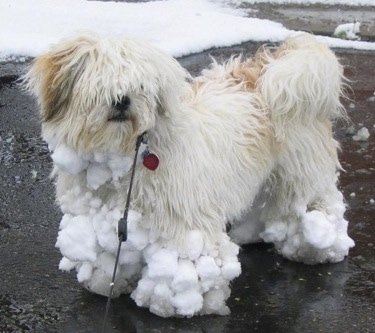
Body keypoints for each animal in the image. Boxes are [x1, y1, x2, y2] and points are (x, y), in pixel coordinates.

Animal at [23, 31, 356, 316]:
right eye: (100, 84)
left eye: (140, 87)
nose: (122, 100)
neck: (128, 155)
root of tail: (270, 67)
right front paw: (107, 281)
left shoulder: (185, 222)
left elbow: (191, 261)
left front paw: (176, 303)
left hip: (300, 171)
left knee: (313, 203)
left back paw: (313, 250)